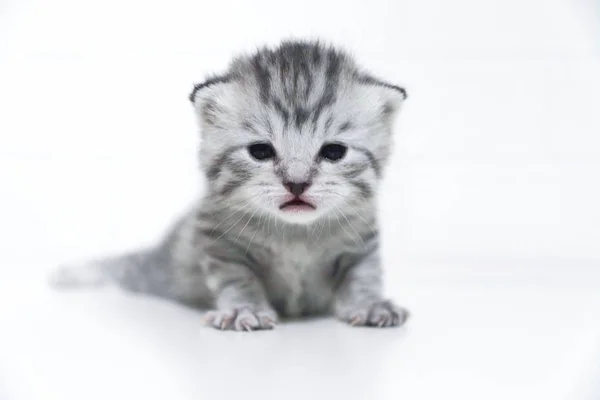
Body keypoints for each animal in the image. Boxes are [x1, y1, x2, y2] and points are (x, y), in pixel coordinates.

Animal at [51, 40, 410, 332]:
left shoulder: (361, 241)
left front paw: (370, 304)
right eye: (260, 151)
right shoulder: (220, 243)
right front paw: (243, 310)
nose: (297, 183)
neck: (295, 235)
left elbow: (364, 274)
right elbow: (238, 277)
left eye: (334, 151)